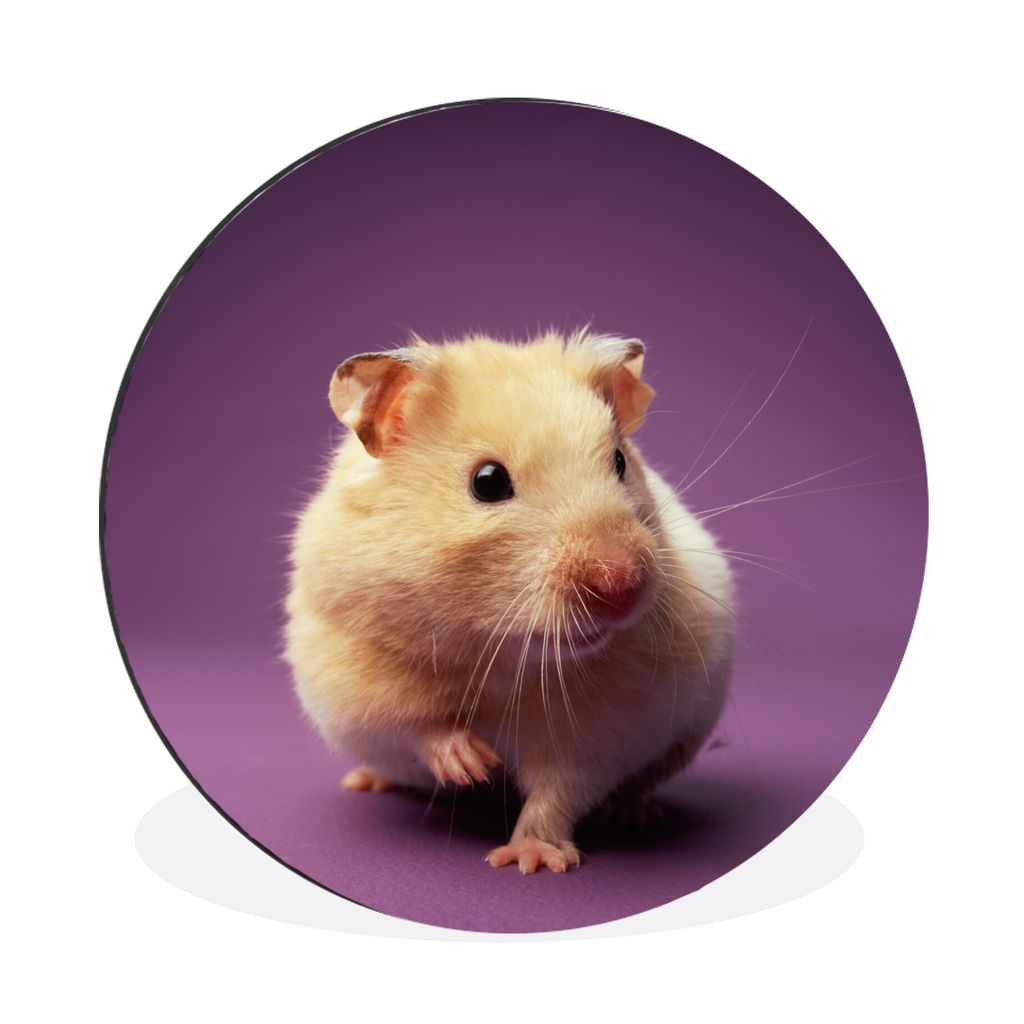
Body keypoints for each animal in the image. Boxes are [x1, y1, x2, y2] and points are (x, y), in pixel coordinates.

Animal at [285, 330, 733, 874]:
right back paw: (367, 780)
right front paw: (474, 765)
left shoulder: (597, 736)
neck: (505, 655)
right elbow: (418, 725)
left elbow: (558, 791)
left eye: (621, 462)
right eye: (488, 482)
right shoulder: (356, 673)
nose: (623, 586)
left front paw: (532, 861)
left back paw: (632, 814)